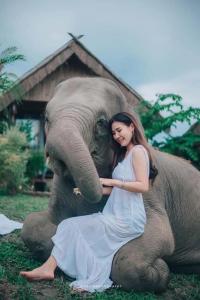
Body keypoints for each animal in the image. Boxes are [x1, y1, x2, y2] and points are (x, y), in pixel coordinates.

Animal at [21, 76, 200, 292]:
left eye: (101, 122)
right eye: (46, 118)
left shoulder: (152, 189)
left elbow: (159, 236)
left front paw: (162, 272)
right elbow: (31, 224)